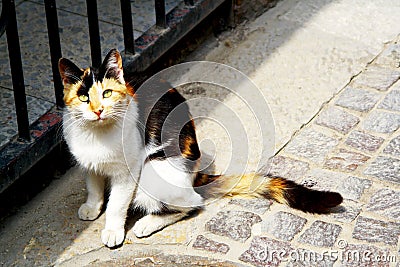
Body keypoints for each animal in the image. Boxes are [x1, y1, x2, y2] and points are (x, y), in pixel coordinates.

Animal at [57, 49, 342, 248]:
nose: (98, 110)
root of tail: (195, 177)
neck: (96, 135)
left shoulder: (128, 172)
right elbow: (93, 185)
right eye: (84, 97)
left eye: (106, 93)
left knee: (192, 204)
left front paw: (113, 230)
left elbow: (117, 203)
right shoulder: (88, 163)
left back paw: (146, 223)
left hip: (153, 170)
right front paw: (92, 207)